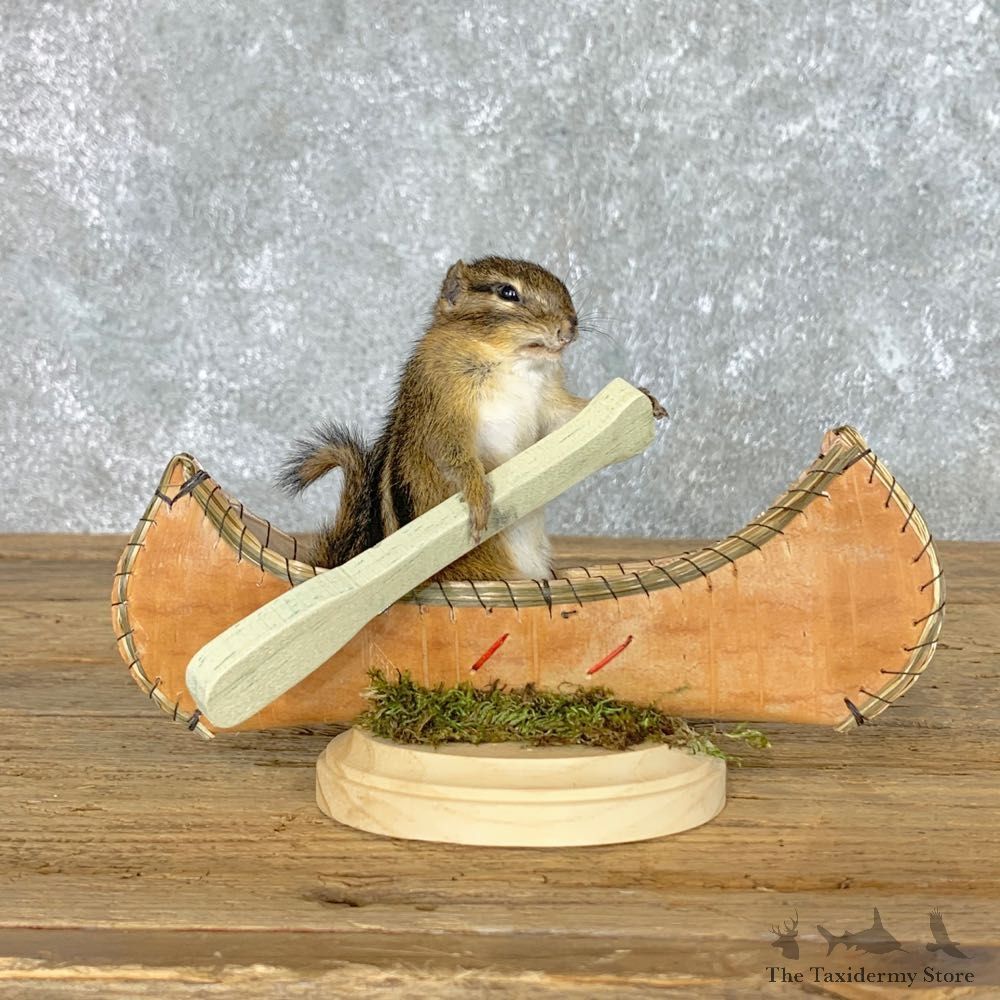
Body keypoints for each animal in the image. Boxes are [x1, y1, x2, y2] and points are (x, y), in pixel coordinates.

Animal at [279, 256, 667, 582]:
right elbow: (453, 453)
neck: (512, 363)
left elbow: (571, 419)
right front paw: (479, 494)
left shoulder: (549, 404)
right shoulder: (442, 407)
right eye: (507, 292)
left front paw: (646, 399)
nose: (569, 328)